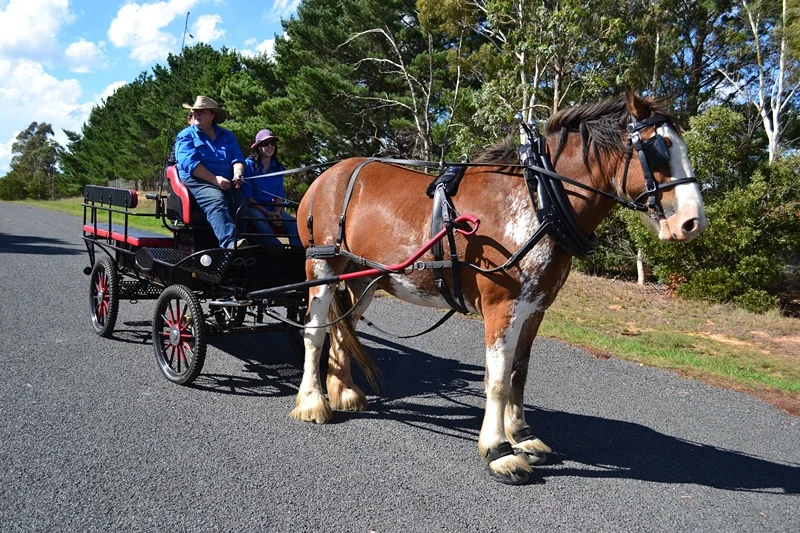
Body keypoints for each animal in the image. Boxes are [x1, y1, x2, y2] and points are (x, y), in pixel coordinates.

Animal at [290, 88, 707, 485]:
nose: (693, 223)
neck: (539, 202)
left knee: (344, 327)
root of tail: (328, 174)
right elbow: (497, 378)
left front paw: (522, 435)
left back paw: (344, 391)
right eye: (658, 148)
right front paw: (499, 451)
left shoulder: (535, 308)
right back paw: (312, 401)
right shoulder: (501, 307)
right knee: (315, 332)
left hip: (363, 277)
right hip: (321, 267)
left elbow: (518, 372)